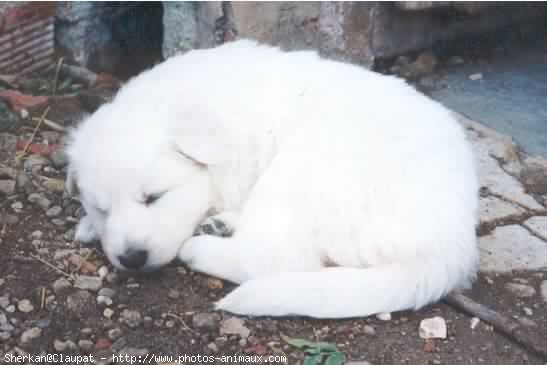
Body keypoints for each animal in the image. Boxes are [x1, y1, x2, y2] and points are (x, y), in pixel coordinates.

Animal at [65, 40, 480, 318]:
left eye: (154, 197)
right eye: (102, 209)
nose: (131, 259)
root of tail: (451, 246)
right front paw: (88, 226)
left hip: (304, 166)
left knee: (277, 257)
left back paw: (201, 248)